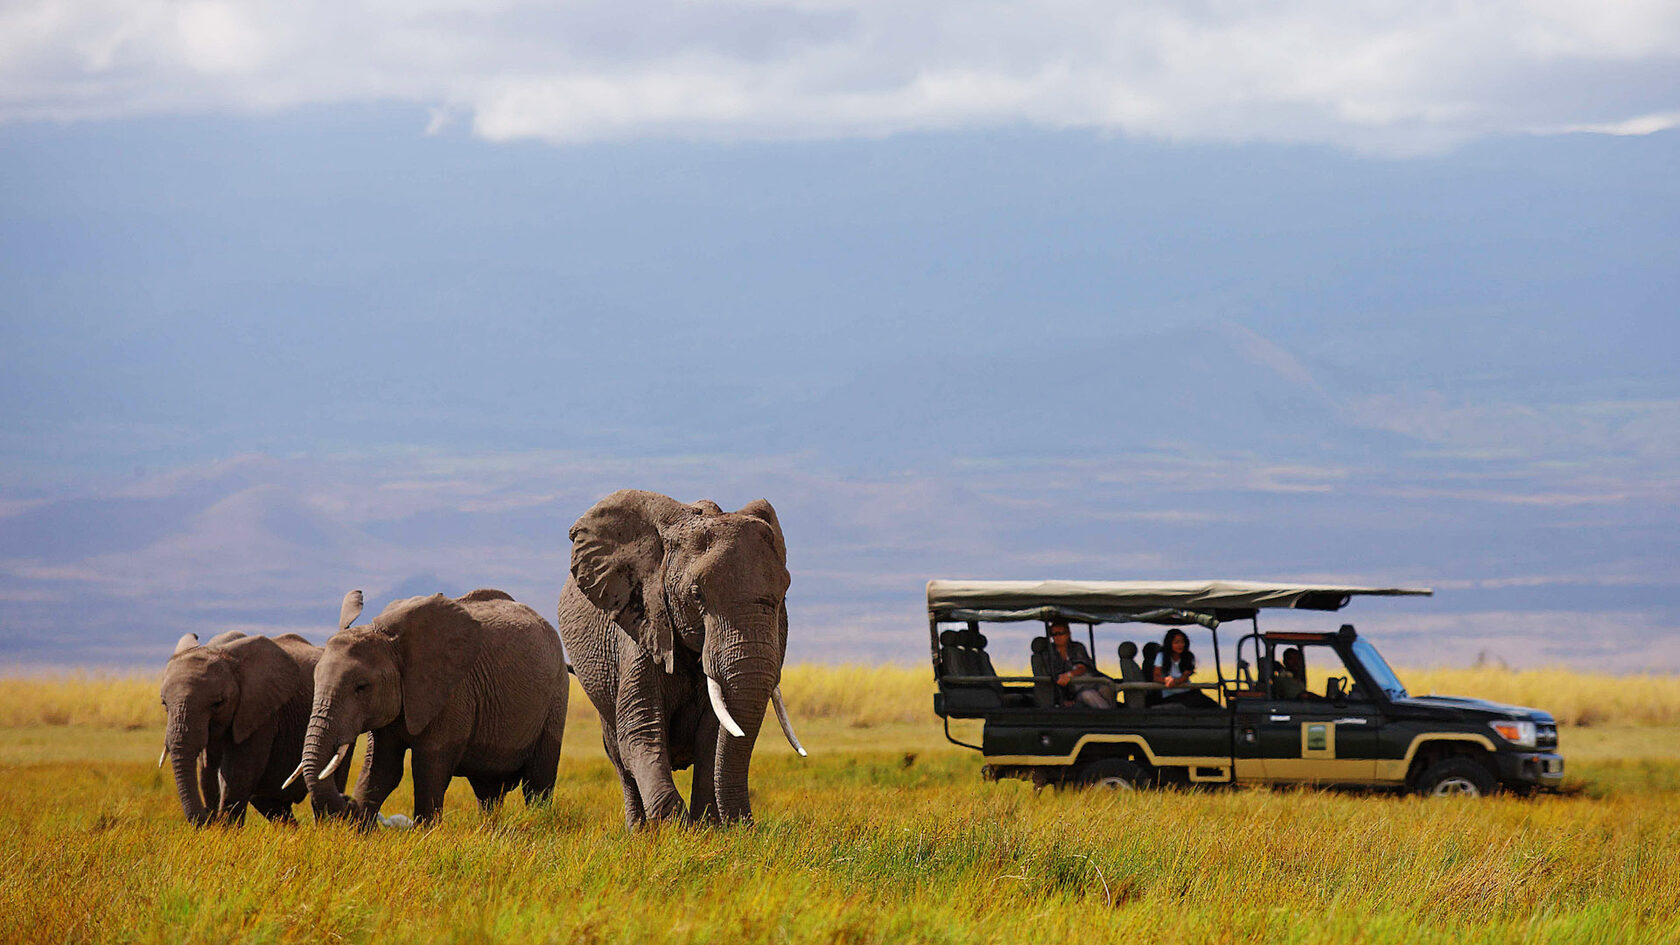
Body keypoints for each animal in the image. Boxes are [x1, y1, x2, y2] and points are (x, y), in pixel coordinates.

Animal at [159, 632, 351, 823]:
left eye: (218, 703)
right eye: (164, 703)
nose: (207, 815)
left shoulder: (259, 712)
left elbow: (237, 776)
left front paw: (223, 827)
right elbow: (206, 776)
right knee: (269, 803)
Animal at [295, 588, 571, 823]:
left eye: (361, 687)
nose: (347, 802)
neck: (389, 639)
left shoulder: (452, 694)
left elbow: (429, 768)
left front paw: (424, 834)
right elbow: (381, 769)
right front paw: (361, 832)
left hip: (556, 698)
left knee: (538, 781)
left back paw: (537, 821)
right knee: (488, 790)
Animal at [557, 484, 806, 823]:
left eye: (783, 596)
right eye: (696, 595)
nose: (748, 824)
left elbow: (713, 738)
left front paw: (707, 827)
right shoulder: (642, 623)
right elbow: (641, 732)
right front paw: (675, 825)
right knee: (619, 756)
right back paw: (638, 829)